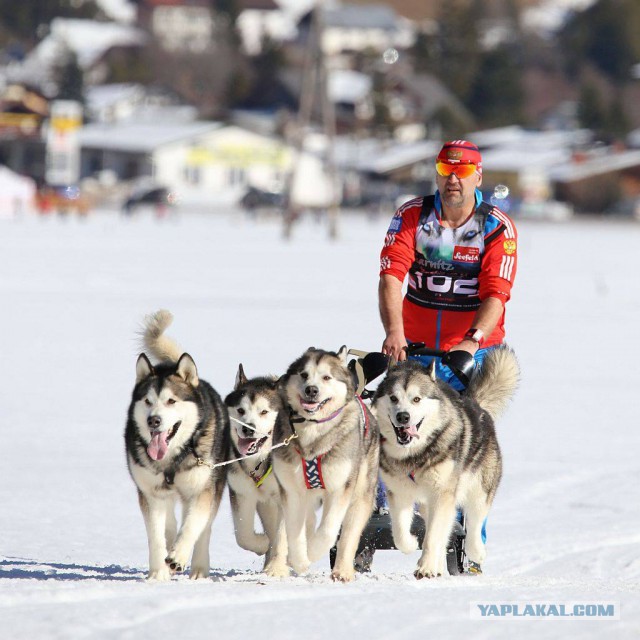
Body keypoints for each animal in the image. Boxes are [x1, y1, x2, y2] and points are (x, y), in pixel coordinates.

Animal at [124, 310, 229, 580]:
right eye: (147, 401)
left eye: (171, 401)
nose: (154, 420)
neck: (173, 458)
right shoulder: (149, 493)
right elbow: (155, 534)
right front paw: (158, 572)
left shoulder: (202, 489)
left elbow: (192, 526)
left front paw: (178, 556)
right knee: (170, 523)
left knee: (203, 529)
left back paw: (198, 568)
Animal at [222, 368, 288, 576]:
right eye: (241, 410)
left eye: (264, 411)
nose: (248, 429)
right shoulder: (242, 493)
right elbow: (243, 536)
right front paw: (263, 545)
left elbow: (282, 535)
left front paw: (277, 569)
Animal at [272, 348, 380, 584]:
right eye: (304, 375)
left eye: (326, 377)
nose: (311, 390)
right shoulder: (291, 491)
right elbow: (294, 530)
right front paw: (300, 559)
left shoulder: (340, 488)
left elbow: (329, 531)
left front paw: (312, 552)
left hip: (361, 494)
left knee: (349, 534)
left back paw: (343, 571)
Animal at [372, 348, 516, 576]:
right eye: (393, 398)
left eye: (416, 399)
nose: (403, 417)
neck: (415, 455)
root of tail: (476, 405)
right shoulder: (399, 492)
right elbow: (400, 533)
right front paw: (412, 545)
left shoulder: (443, 493)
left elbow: (433, 536)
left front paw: (425, 567)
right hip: (427, 503)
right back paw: (437, 565)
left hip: (479, 488)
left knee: (474, 521)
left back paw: (475, 552)